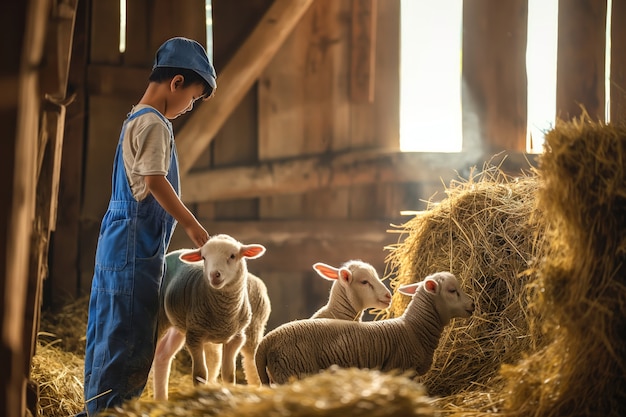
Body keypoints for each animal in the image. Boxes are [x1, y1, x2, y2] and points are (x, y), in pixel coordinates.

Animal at [154, 232, 268, 398]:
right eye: (204, 257)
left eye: (232, 256)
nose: (214, 275)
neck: (223, 314)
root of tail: (174, 253)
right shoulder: (195, 337)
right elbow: (200, 375)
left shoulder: (236, 338)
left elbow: (229, 374)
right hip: (162, 319)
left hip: (179, 325)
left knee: (163, 355)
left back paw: (161, 398)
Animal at [254, 270, 472, 384]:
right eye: (452, 290)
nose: (473, 305)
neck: (414, 328)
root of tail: (266, 341)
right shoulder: (400, 370)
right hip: (294, 370)